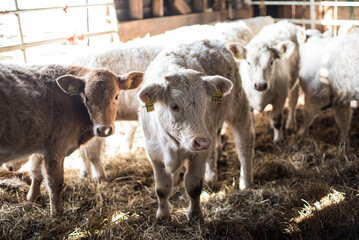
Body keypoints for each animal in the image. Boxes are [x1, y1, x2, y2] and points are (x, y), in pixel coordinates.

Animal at [0, 63, 143, 214]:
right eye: (87, 98)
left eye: (116, 96)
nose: (104, 129)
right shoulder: (55, 148)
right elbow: (54, 181)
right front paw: (57, 212)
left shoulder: (41, 148)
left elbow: (36, 172)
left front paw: (32, 197)